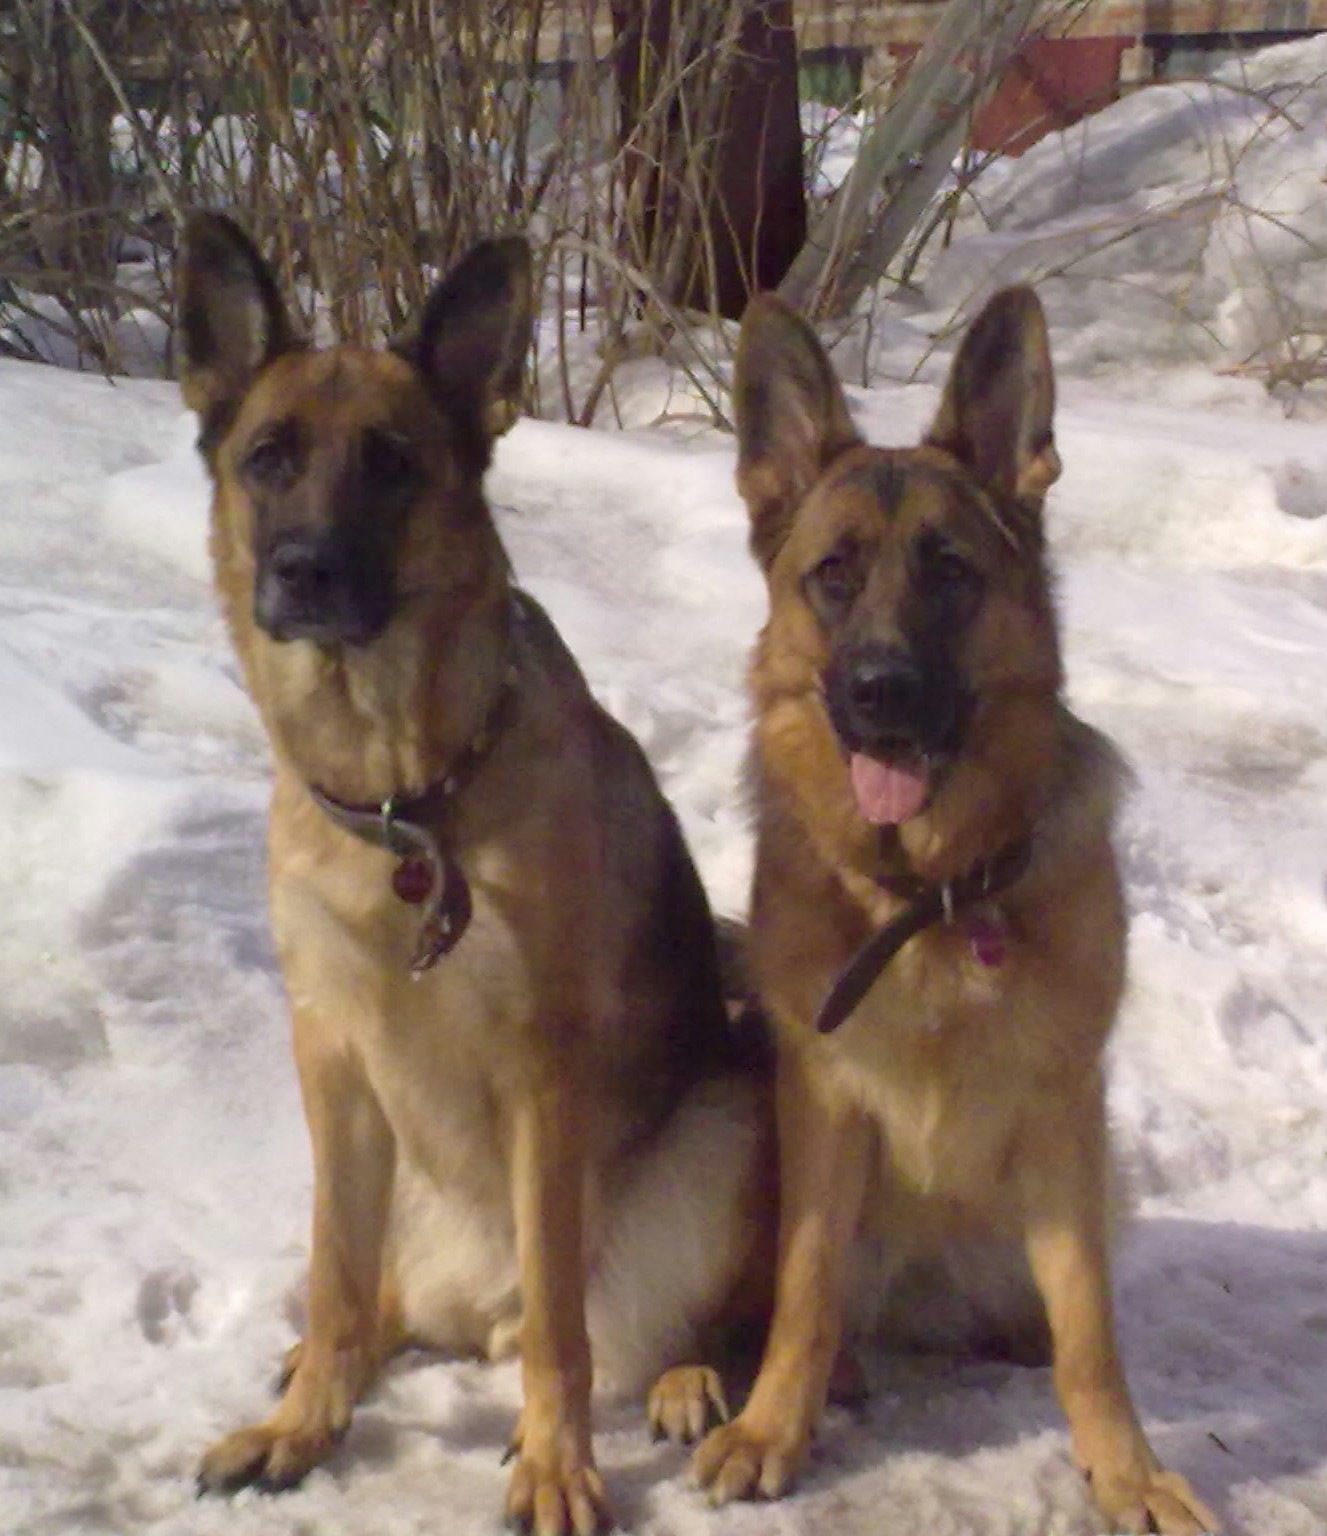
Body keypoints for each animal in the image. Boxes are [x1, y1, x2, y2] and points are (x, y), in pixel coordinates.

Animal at [178, 213, 768, 1536]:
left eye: (393, 464)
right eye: (266, 458)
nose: (302, 571)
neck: (405, 799)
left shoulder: (541, 1077)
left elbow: (560, 1329)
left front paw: (554, 1465)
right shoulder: (334, 1063)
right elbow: (335, 1276)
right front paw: (305, 1428)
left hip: (720, 1129)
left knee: (637, 1323)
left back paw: (686, 1380)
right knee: (373, 1301)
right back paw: (322, 1368)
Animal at [690, 286, 1219, 1535]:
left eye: (948, 572)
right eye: (832, 575)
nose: (881, 693)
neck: (926, 897)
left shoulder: (1065, 1111)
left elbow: (1089, 1327)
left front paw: (1124, 1469)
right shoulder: (823, 1105)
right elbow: (805, 1288)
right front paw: (773, 1430)